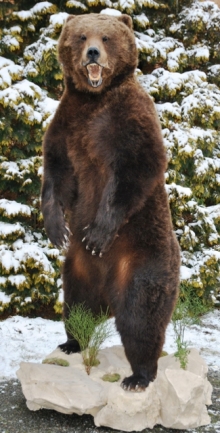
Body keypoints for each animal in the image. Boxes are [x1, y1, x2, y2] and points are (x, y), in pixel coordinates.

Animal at [41, 12, 180, 392]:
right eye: (81, 35)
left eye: (105, 37)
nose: (92, 53)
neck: (95, 98)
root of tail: (109, 288)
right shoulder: (67, 123)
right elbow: (56, 172)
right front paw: (57, 229)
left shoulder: (128, 121)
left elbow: (136, 169)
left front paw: (98, 232)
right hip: (78, 267)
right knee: (77, 304)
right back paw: (71, 342)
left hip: (143, 257)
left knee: (140, 316)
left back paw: (138, 375)